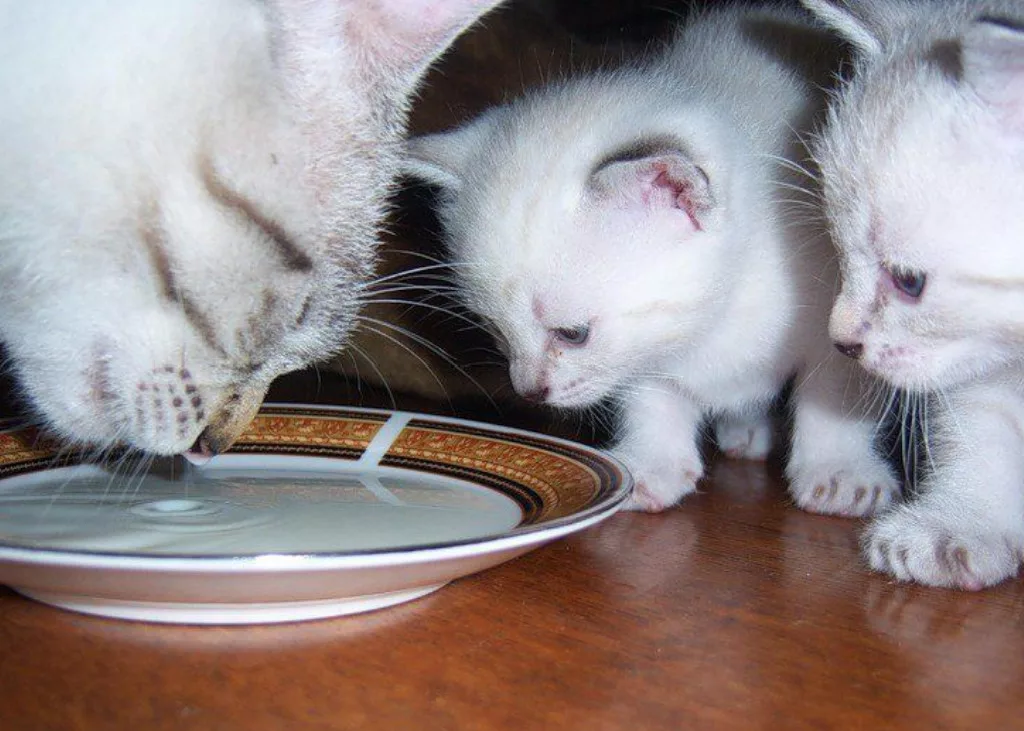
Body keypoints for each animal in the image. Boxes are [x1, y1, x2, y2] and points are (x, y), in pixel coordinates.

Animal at [405, 7, 897, 511]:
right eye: (496, 331)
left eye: (573, 334)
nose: (529, 391)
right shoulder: (648, 347)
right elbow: (651, 394)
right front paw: (653, 467)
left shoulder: (854, 312)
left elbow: (835, 392)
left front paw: (839, 472)